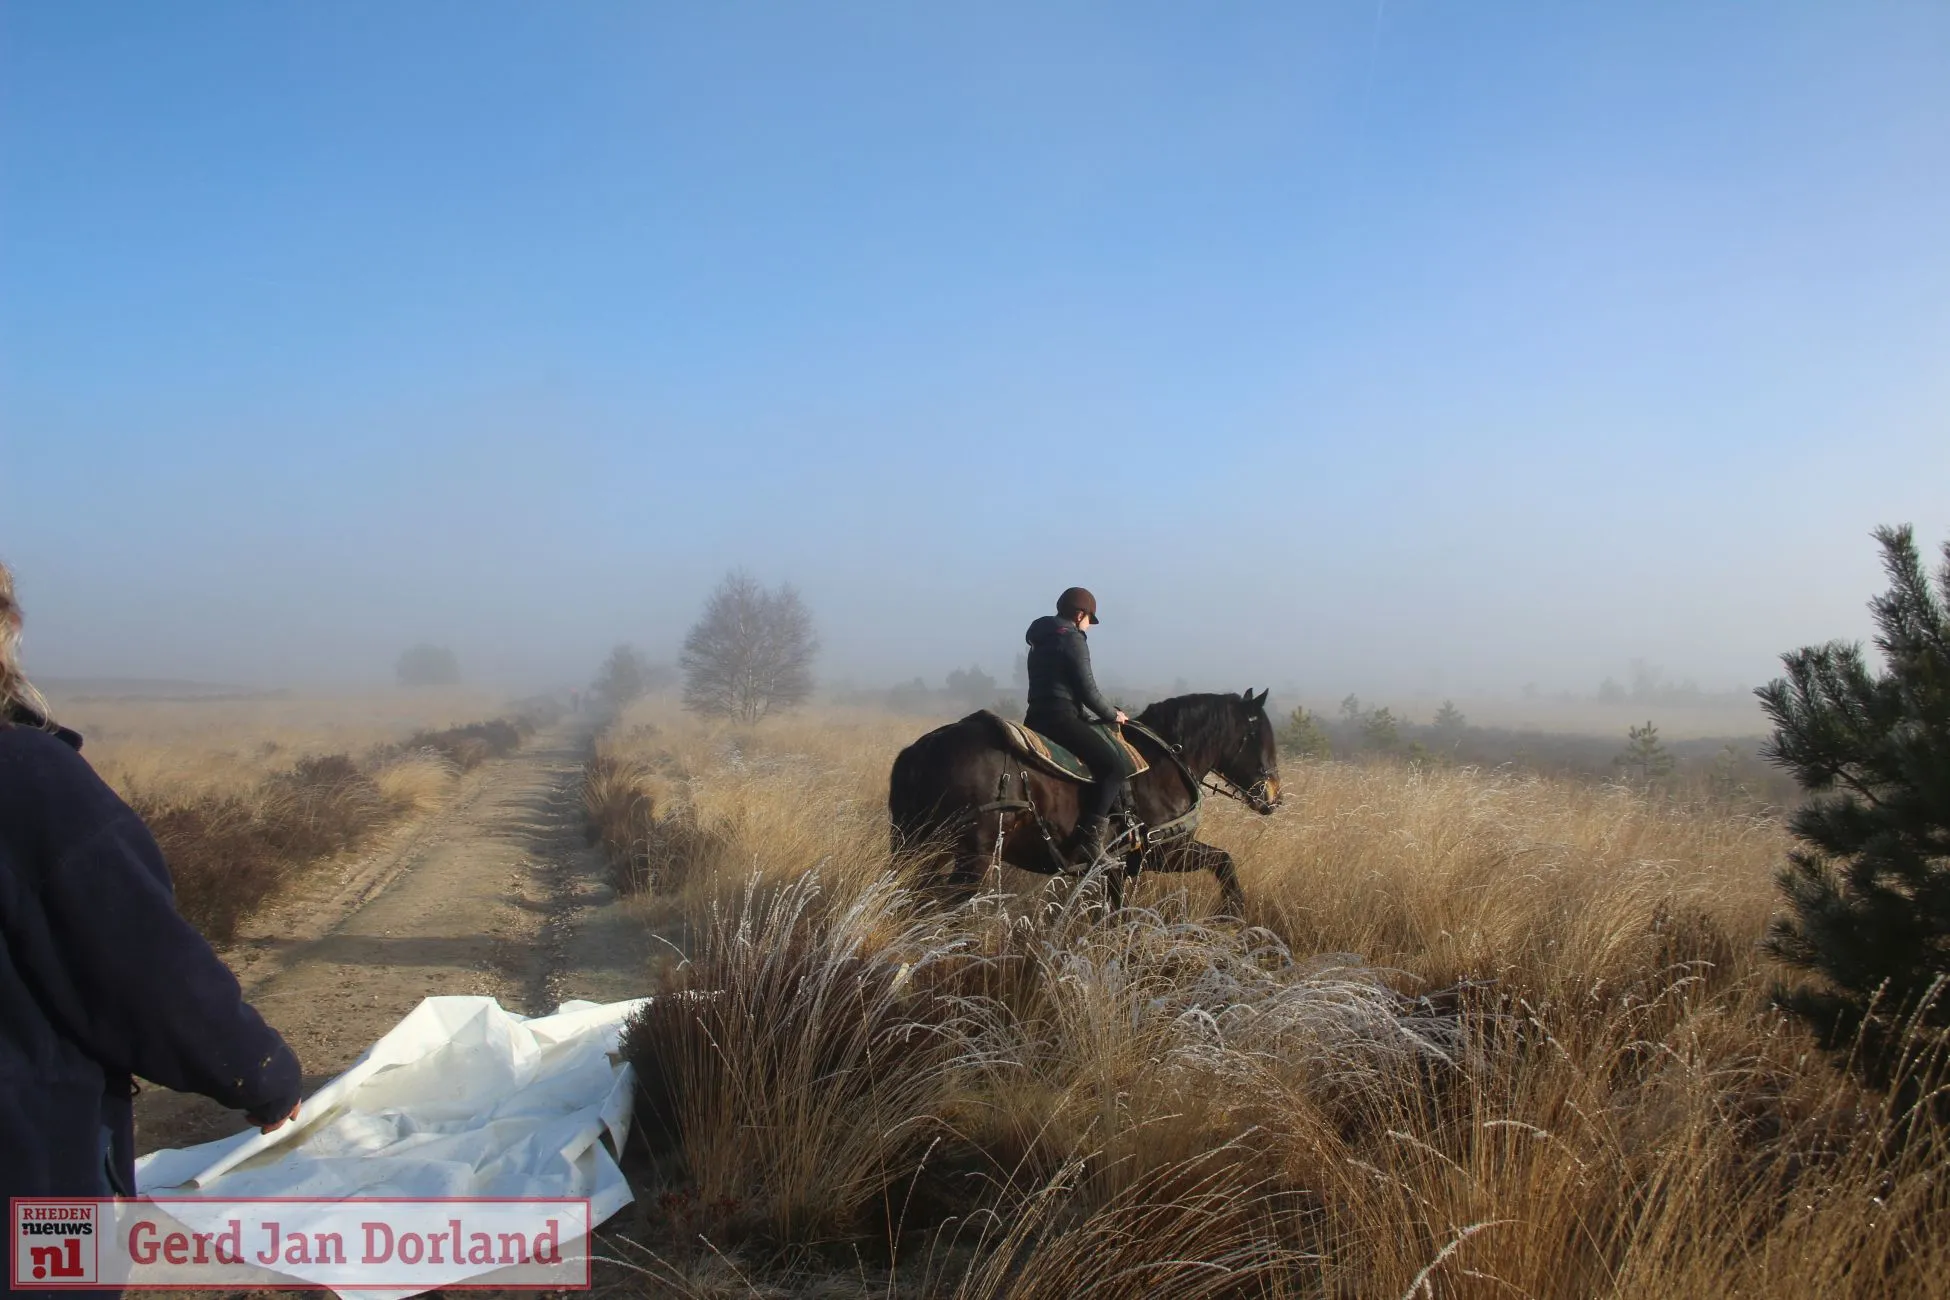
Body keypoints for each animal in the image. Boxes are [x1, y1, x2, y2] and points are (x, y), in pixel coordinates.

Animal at [885, 689, 1279, 916]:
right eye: (1259, 733)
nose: (1274, 796)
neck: (1165, 763)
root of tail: (923, 748)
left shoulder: (1119, 868)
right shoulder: (1163, 852)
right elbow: (1224, 862)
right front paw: (1233, 914)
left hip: (923, 848)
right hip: (970, 857)